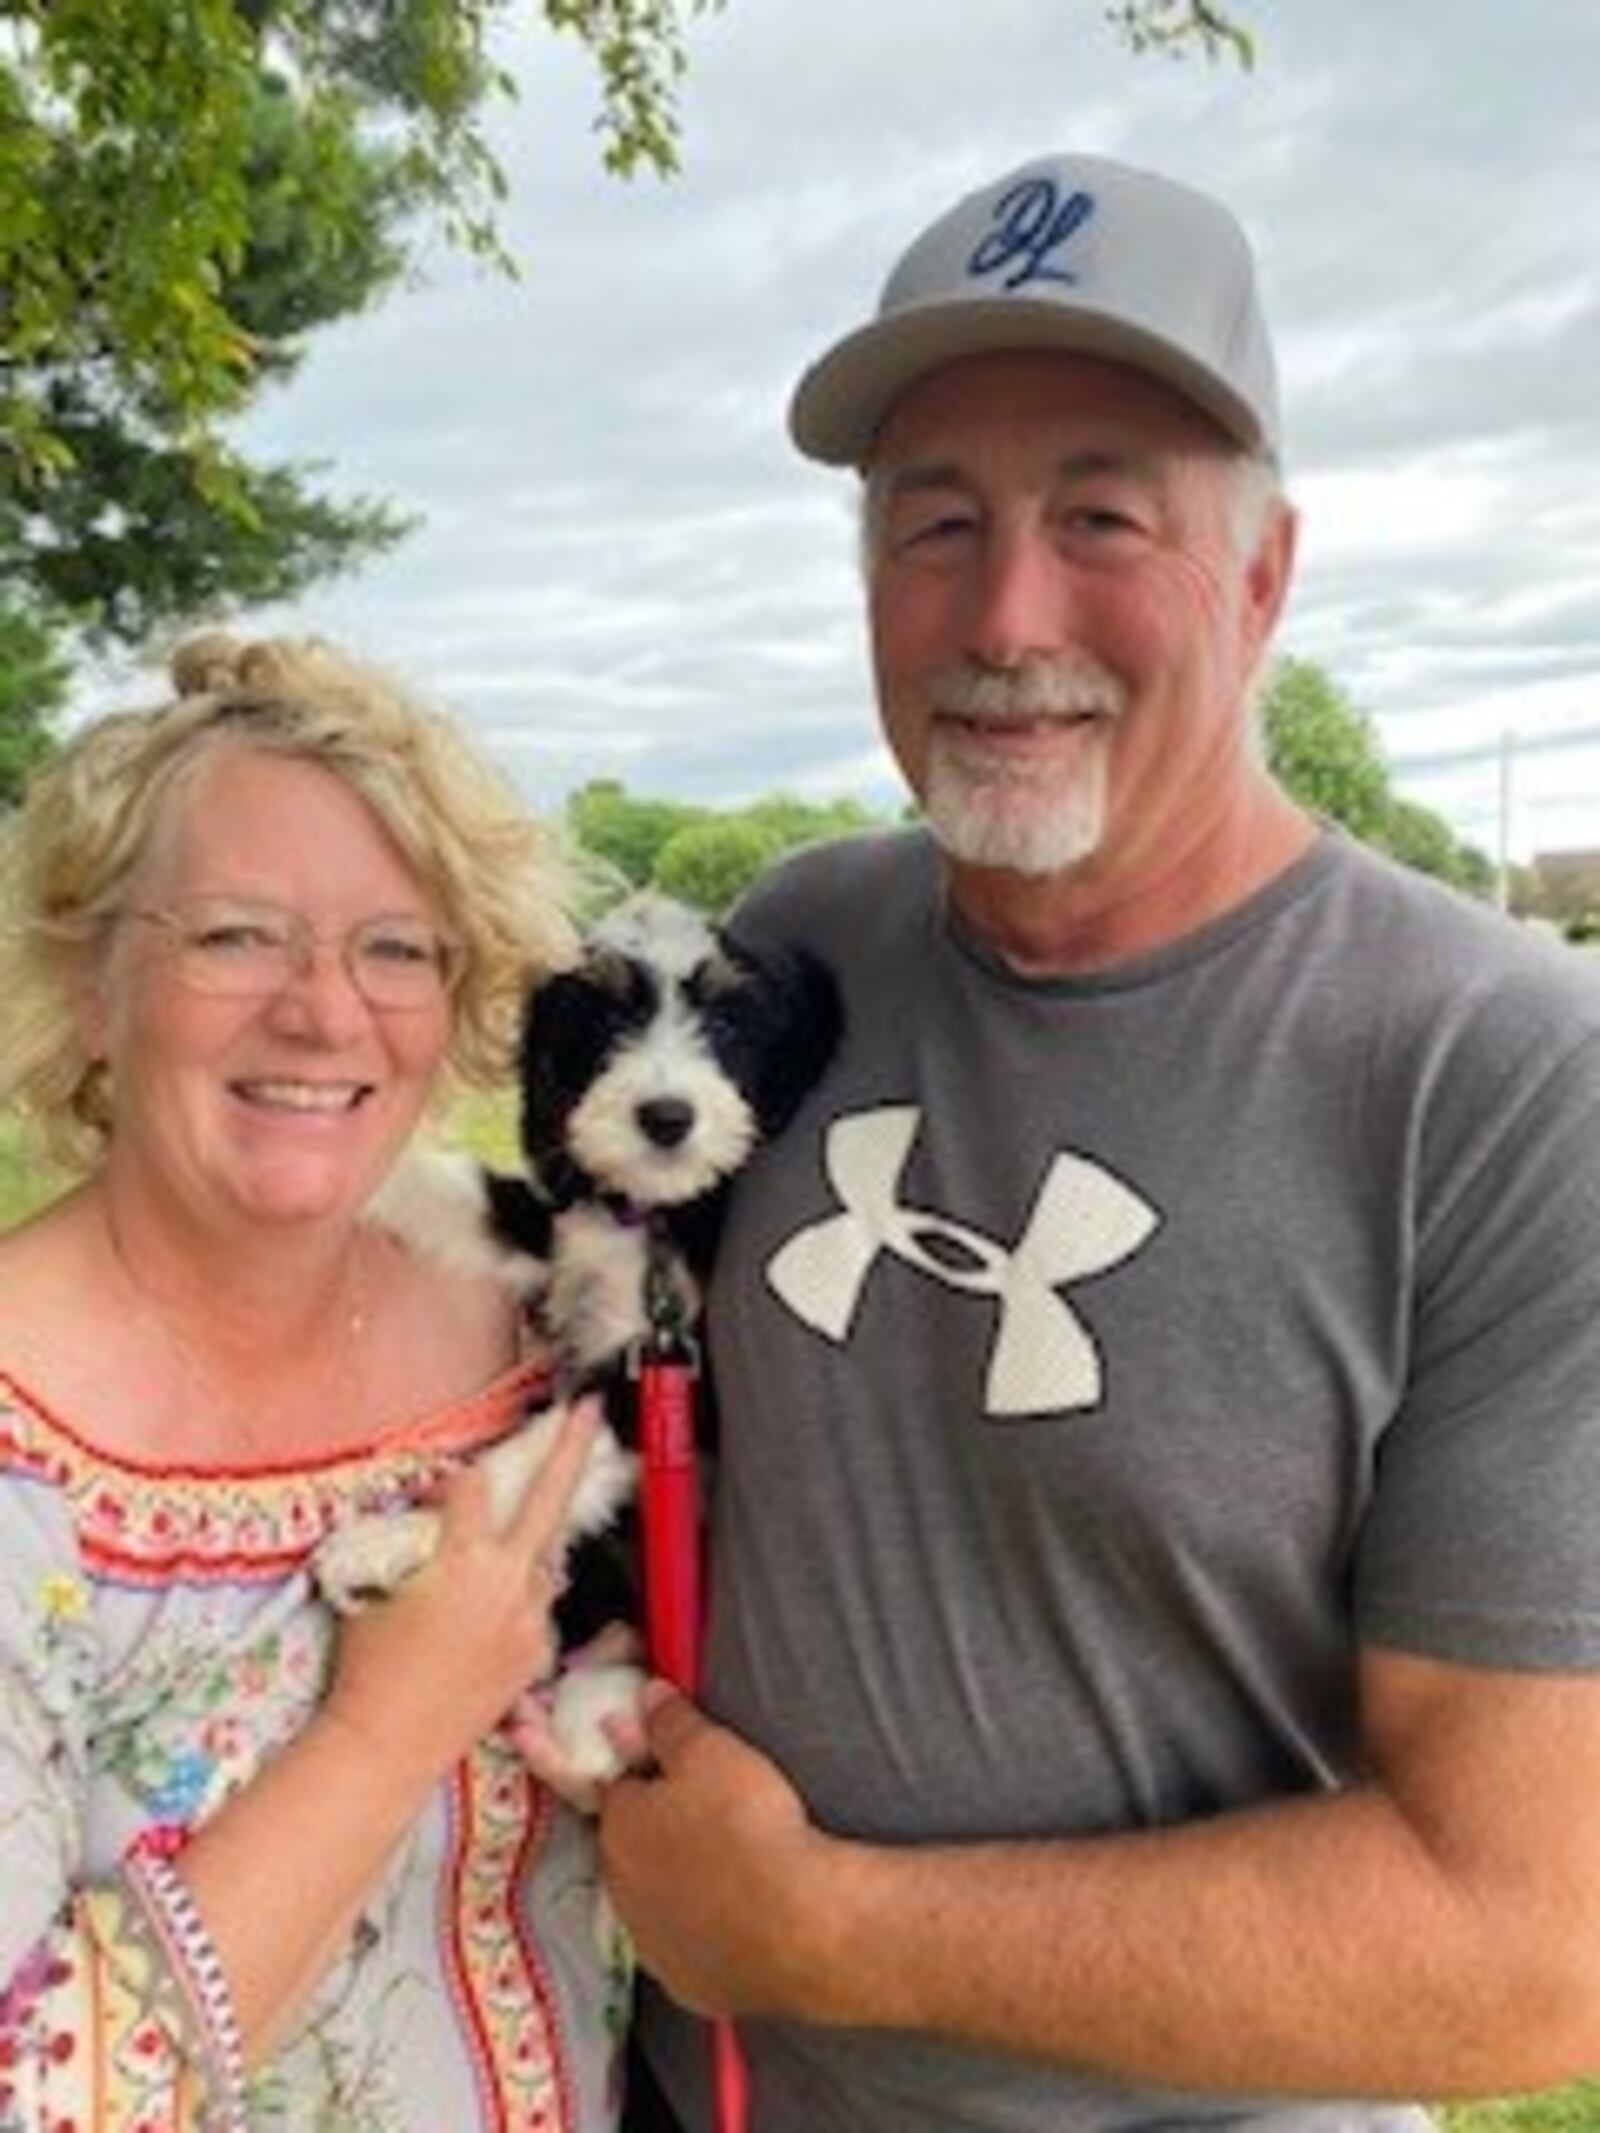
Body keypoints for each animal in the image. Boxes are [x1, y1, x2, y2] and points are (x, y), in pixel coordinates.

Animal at [309, 891, 840, 1791]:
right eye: (607, 1021)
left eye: (727, 1023)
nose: (666, 1118)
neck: (655, 1217)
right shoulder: (560, 1221)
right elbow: (474, 1194)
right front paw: (373, 1173)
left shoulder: (666, 1378)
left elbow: (523, 1459)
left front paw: (394, 1540)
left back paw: (597, 1715)